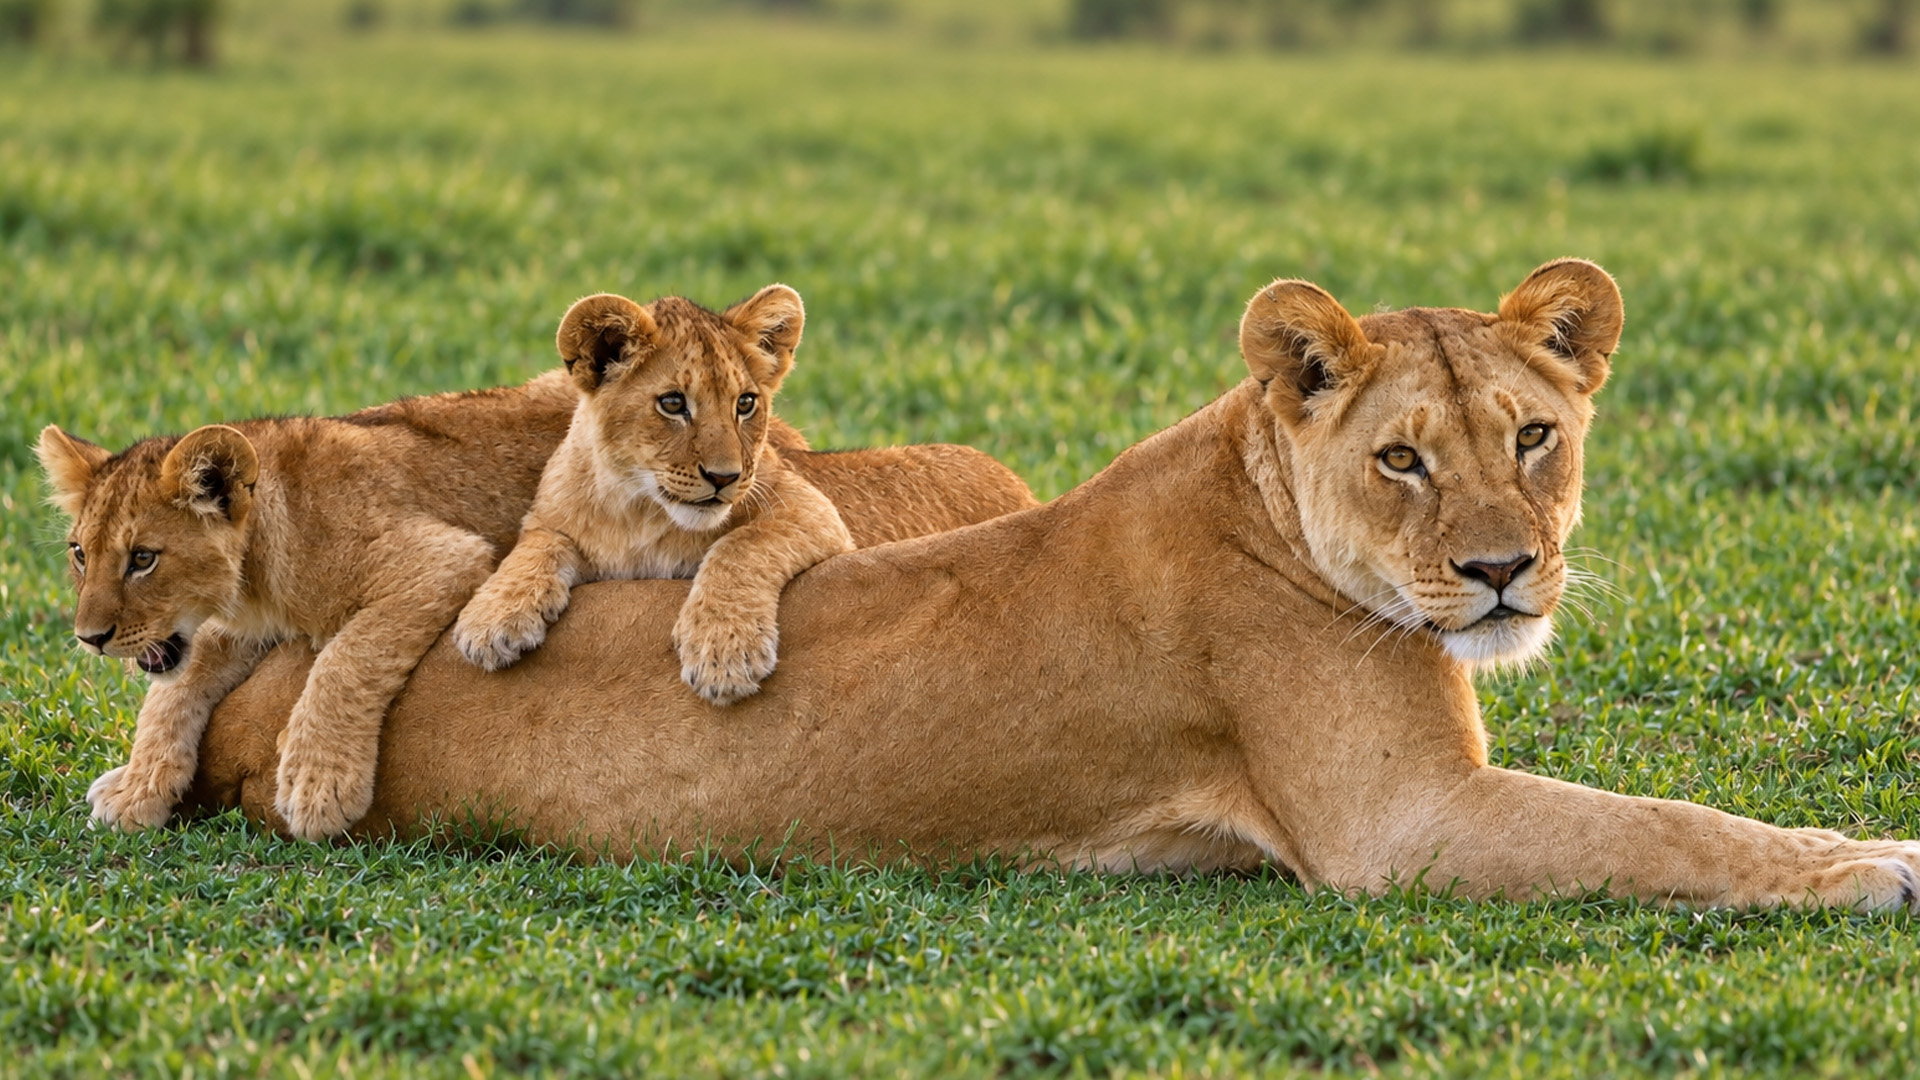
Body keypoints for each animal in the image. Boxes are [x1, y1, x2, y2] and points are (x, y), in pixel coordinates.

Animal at [38, 302, 1035, 841]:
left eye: (145, 557)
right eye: (83, 553)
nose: (89, 637)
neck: (258, 564)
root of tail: (784, 435)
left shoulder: (437, 559)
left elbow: (346, 660)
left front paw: (319, 784)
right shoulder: (233, 630)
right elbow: (175, 693)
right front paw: (136, 790)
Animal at [185, 259, 1920, 911]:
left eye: (1534, 435)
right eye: (1404, 461)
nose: (1503, 573)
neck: (1258, 494)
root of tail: (267, 685)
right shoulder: (1399, 830)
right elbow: (1670, 831)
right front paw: (1873, 869)